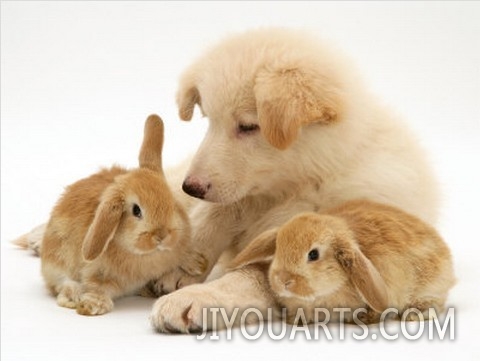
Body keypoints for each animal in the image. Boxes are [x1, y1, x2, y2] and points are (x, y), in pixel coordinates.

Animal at [39, 114, 193, 314]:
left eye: (172, 201)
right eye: (136, 211)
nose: (162, 235)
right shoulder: (97, 273)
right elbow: (97, 287)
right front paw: (93, 306)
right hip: (56, 260)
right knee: (62, 283)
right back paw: (73, 297)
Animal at [231, 198, 456, 324]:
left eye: (313, 254)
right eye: (277, 248)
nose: (283, 281)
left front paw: (365, 319)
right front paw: (295, 321)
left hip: (430, 287)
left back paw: (413, 315)